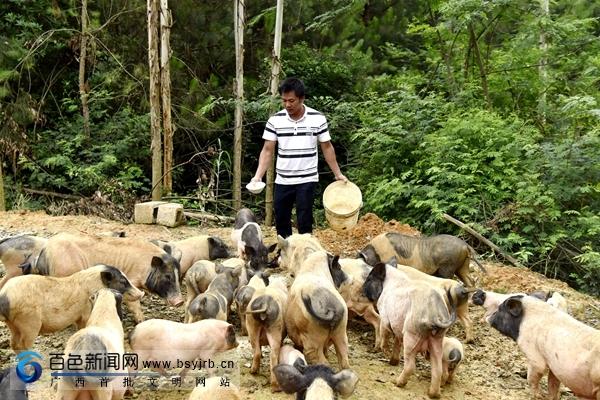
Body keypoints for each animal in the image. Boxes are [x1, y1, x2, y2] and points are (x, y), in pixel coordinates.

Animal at [0, 264, 143, 352]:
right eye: (123, 282)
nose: (141, 293)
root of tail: (4, 295)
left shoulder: (79, 317)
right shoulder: (86, 313)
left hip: (13, 324)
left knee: (14, 343)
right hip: (29, 322)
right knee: (23, 344)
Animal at [32, 231, 182, 322]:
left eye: (178, 276)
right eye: (167, 276)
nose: (180, 301)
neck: (145, 267)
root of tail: (45, 251)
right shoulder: (132, 280)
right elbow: (134, 303)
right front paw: (141, 321)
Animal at [364, 262, 458, 396]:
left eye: (369, 278)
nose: (362, 288)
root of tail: (435, 314)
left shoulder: (385, 317)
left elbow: (384, 334)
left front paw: (384, 351)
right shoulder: (397, 328)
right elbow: (397, 342)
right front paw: (393, 362)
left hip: (411, 335)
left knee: (410, 366)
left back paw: (397, 383)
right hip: (437, 339)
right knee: (438, 369)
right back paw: (432, 394)